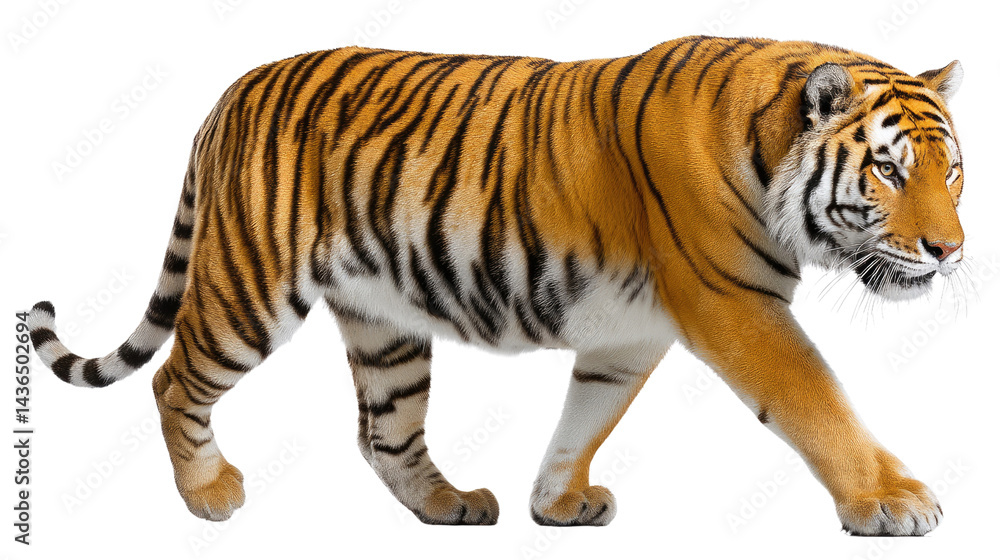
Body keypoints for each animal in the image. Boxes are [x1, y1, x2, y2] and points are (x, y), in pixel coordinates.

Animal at [26, 35, 965, 534]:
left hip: (384, 323)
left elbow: (587, 417)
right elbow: (818, 400)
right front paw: (892, 501)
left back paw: (450, 505)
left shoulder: (631, 334)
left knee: (384, 432)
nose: (951, 251)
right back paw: (208, 495)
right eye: (887, 170)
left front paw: (556, 501)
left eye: (951, 171)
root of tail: (230, 91)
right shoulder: (736, 307)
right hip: (249, 287)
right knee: (175, 379)